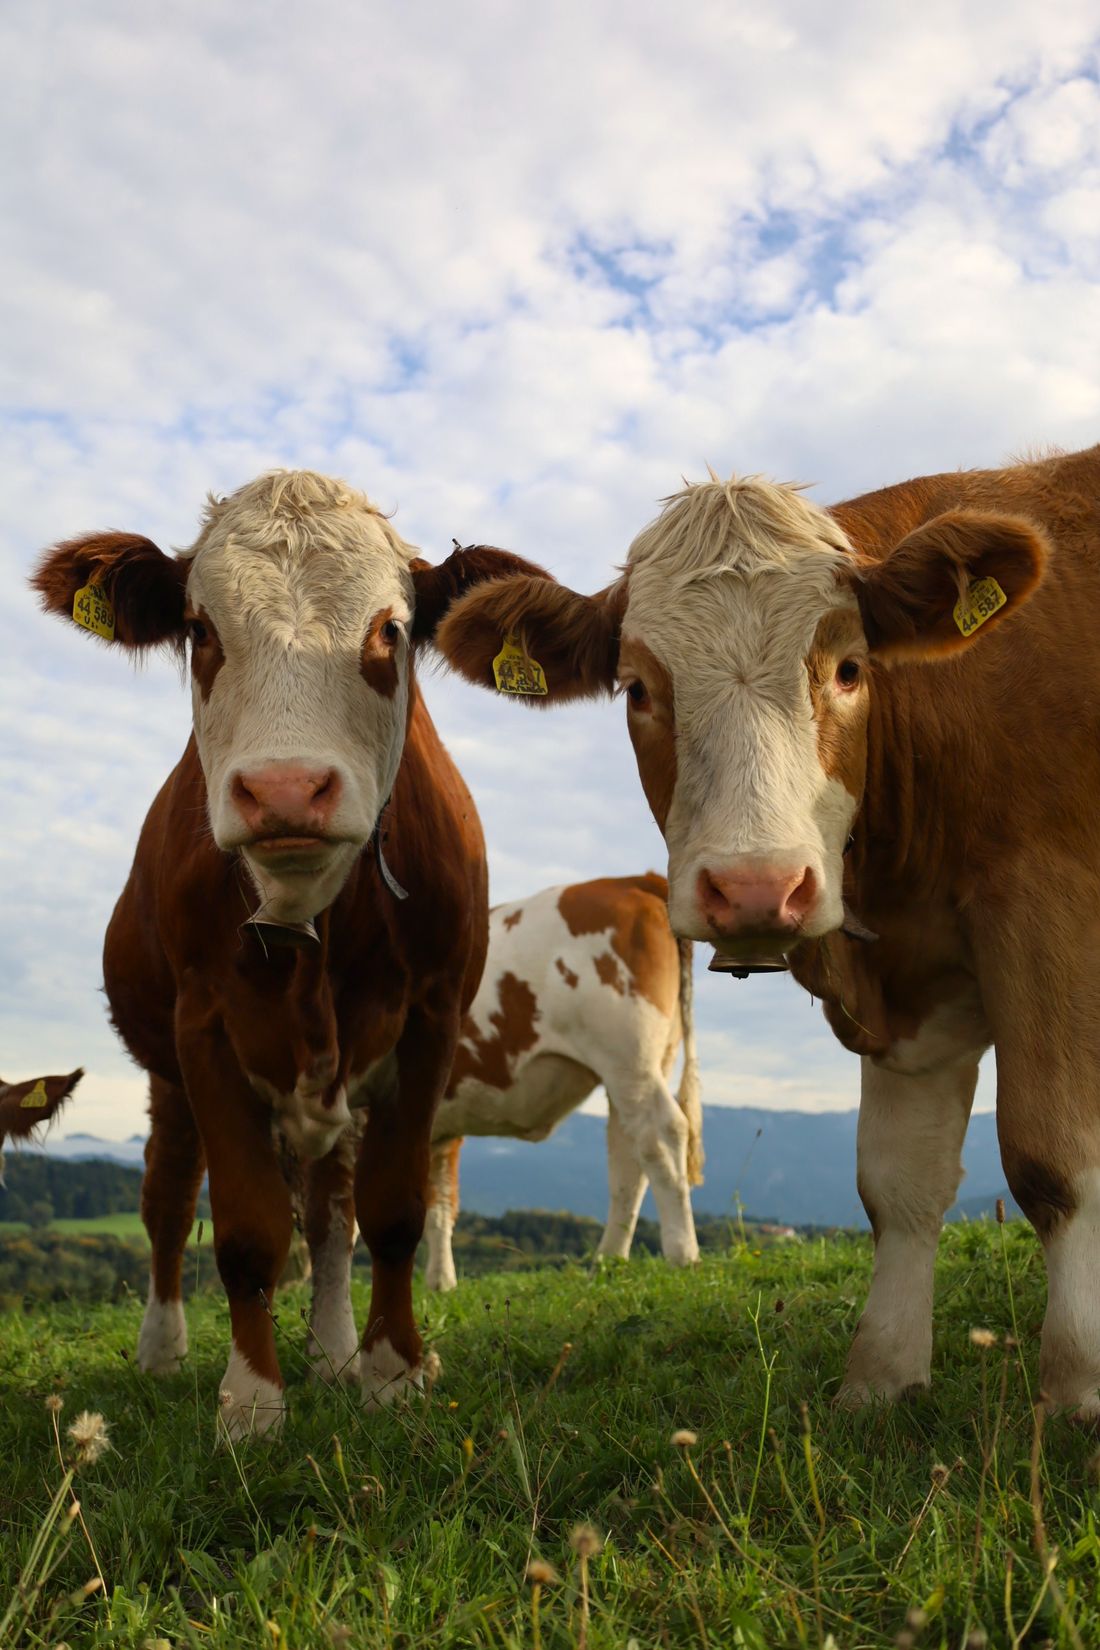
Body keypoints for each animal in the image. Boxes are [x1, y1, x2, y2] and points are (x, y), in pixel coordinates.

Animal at [32, 471, 542, 1437]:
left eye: (390, 630)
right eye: (200, 630)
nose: (284, 789)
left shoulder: (430, 1021)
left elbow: (387, 1211)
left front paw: (388, 1371)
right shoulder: (203, 1032)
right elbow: (244, 1229)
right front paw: (251, 1402)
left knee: (332, 1213)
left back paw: (334, 1350)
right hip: (165, 1077)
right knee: (166, 1199)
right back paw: (165, 1351)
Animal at [423, 871, 703, 1289]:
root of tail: (632, 880)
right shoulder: (442, 1131)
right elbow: (440, 1207)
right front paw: (440, 1285)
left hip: (627, 1056)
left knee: (662, 1135)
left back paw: (683, 1255)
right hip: (645, 1064)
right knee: (629, 1155)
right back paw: (607, 1261)